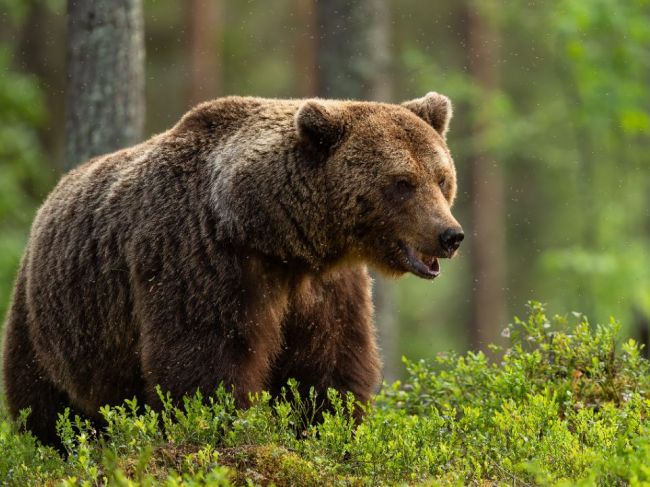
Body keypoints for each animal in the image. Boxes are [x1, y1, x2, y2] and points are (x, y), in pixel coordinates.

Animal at [2, 91, 464, 446]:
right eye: (402, 183)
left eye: (441, 178)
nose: (450, 235)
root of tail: (48, 200)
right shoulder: (204, 259)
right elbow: (206, 359)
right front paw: (226, 428)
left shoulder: (324, 287)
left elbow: (330, 364)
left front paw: (327, 428)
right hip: (51, 321)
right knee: (44, 404)